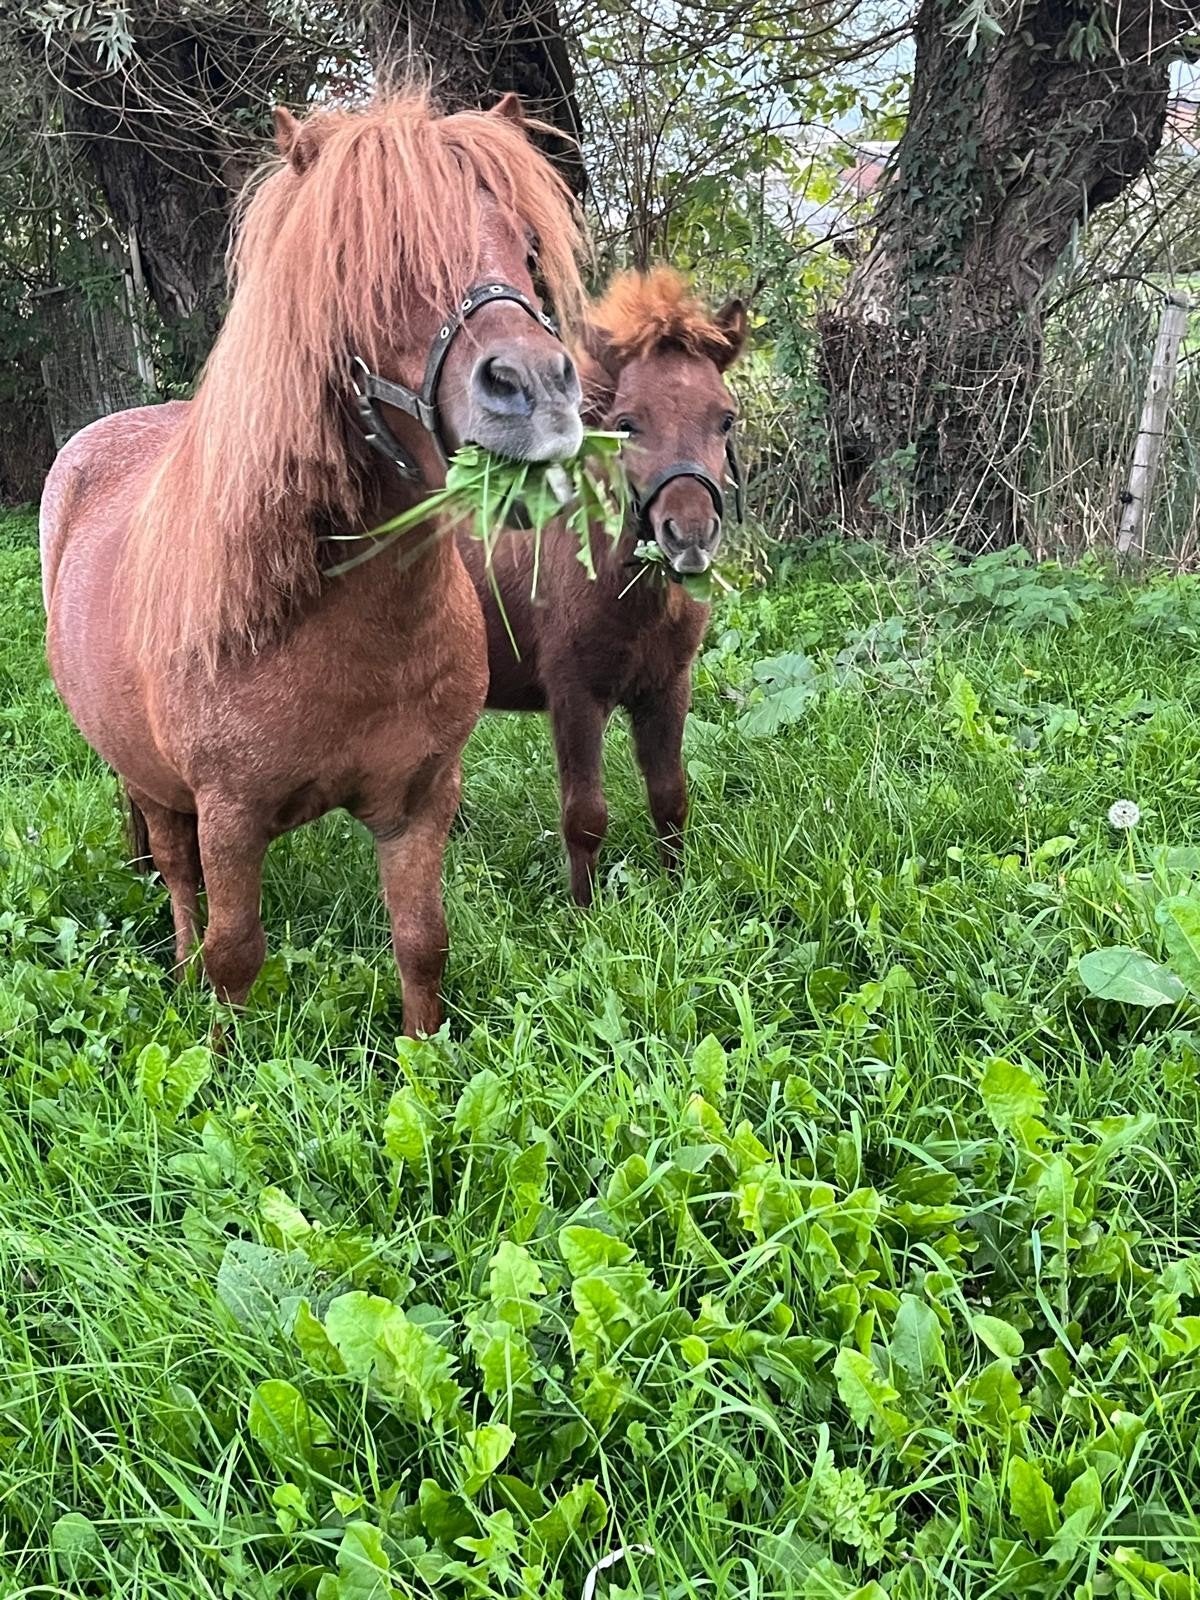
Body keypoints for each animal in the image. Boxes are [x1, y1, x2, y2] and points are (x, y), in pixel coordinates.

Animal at [39, 91, 586, 1036]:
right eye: (376, 266)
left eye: (526, 249)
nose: (540, 391)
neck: (325, 618)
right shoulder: (228, 819)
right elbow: (233, 958)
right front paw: (221, 1052)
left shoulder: (420, 802)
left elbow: (422, 943)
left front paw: (424, 1056)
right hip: (147, 780)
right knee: (175, 877)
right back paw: (174, 968)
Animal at [458, 267, 748, 905]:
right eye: (626, 423)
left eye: (725, 418)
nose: (689, 535)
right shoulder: (575, 696)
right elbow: (585, 816)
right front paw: (584, 913)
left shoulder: (667, 688)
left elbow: (670, 798)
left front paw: (676, 893)